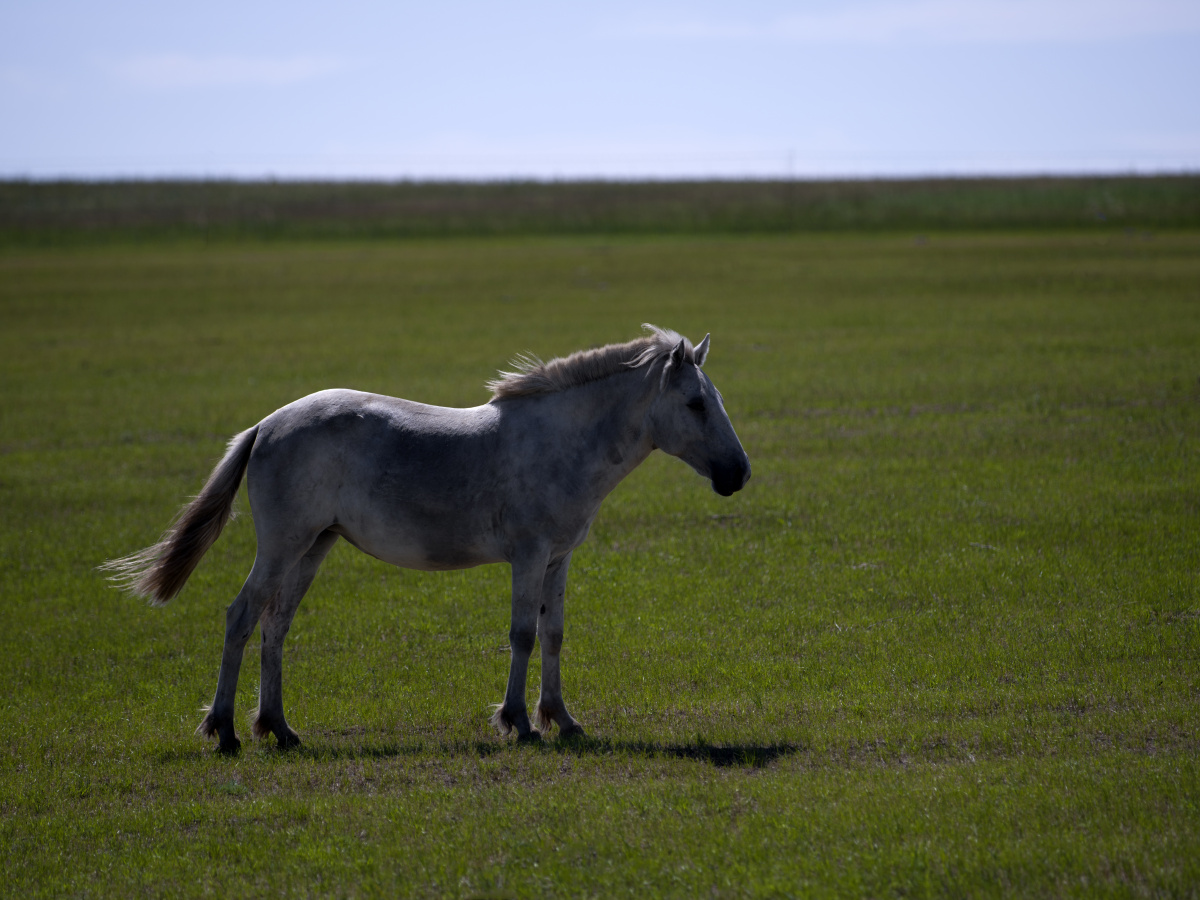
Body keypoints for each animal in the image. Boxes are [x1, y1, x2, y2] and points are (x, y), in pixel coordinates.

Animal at [103, 325, 751, 753]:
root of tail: (265, 425)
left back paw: (280, 729)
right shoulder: (529, 556)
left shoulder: (559, 559)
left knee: (275, 625)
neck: (561, 444)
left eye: (714, 399)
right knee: (242, 616)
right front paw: (517, 721)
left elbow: (554, 634)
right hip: (284, 546)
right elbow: (521, 634)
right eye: (696, 402)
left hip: (314, 547)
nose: (739, 474)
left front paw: (561, 719)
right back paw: (227, 731)